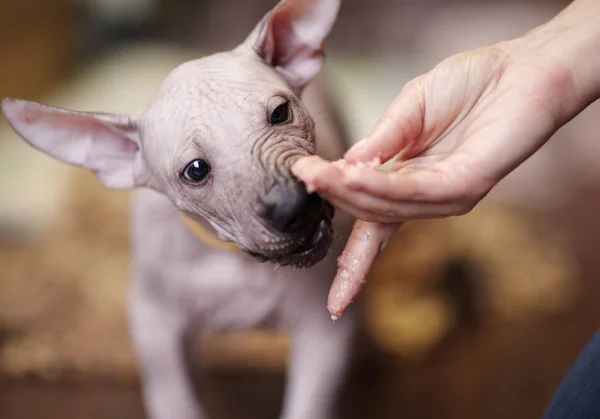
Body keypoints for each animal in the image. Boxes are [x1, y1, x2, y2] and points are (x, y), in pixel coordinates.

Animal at [0, 0, 364, 419]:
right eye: (195, 170)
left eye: (279, 114)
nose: (294, 206)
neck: (233, 260)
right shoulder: (153, 324)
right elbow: (172, 395)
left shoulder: (324, 332)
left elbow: (309, 402)